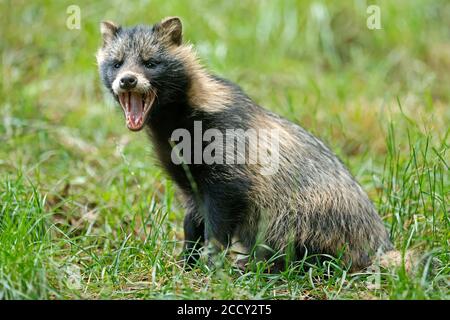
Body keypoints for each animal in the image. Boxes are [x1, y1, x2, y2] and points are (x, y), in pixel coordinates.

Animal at [96, 16, 394, 270]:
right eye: (117, 63)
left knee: (289, 241)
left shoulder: (227, 152)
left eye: (150, 62)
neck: (175, 123)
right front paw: (187, 260)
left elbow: (221, 216)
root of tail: (376, 247)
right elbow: (192, 218)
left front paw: (210, 263)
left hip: (311, 213)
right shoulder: (189, 179)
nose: (127, 80)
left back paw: (262, 264)